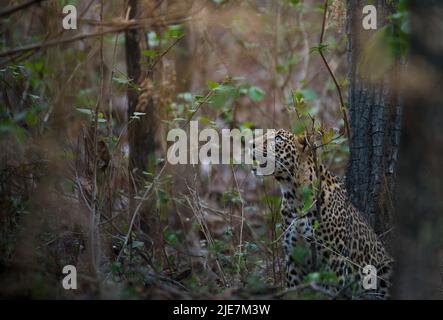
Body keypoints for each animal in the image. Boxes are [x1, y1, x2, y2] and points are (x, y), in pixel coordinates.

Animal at [251, 129, 394, 298]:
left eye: (278, 138)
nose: (250, 143)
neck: (294, 197)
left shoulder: (334, 259)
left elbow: (330, 290)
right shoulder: (294, 258)